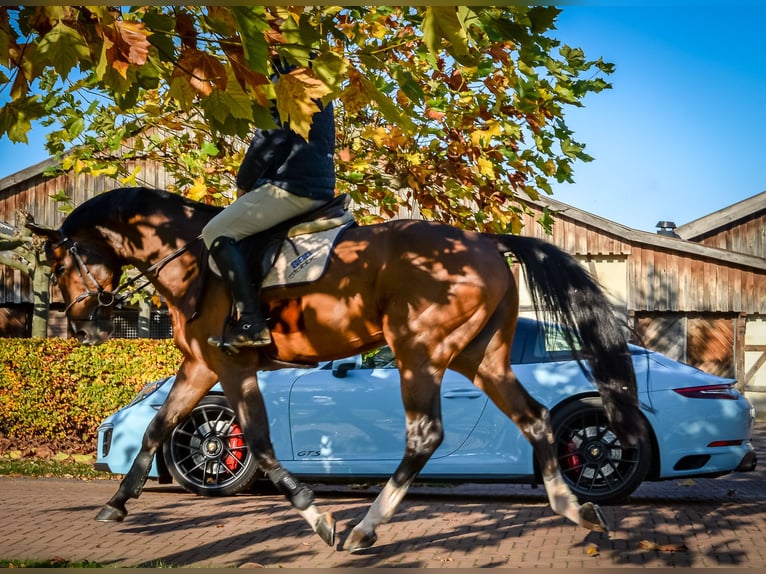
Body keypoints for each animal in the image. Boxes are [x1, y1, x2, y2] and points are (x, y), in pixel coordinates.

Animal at [27, 188, 644, 552]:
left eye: (58, 260)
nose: (77, 322)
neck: (193, 257)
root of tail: (485, 241)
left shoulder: (230, 363)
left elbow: (258, 443)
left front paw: (315, 516)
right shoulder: (201, 364)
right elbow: (159, 427)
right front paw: (115, 504)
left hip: (419, 351)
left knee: (426, 435)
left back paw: (364, 527)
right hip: (480, 358)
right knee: (536, 418)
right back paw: (575, 510)